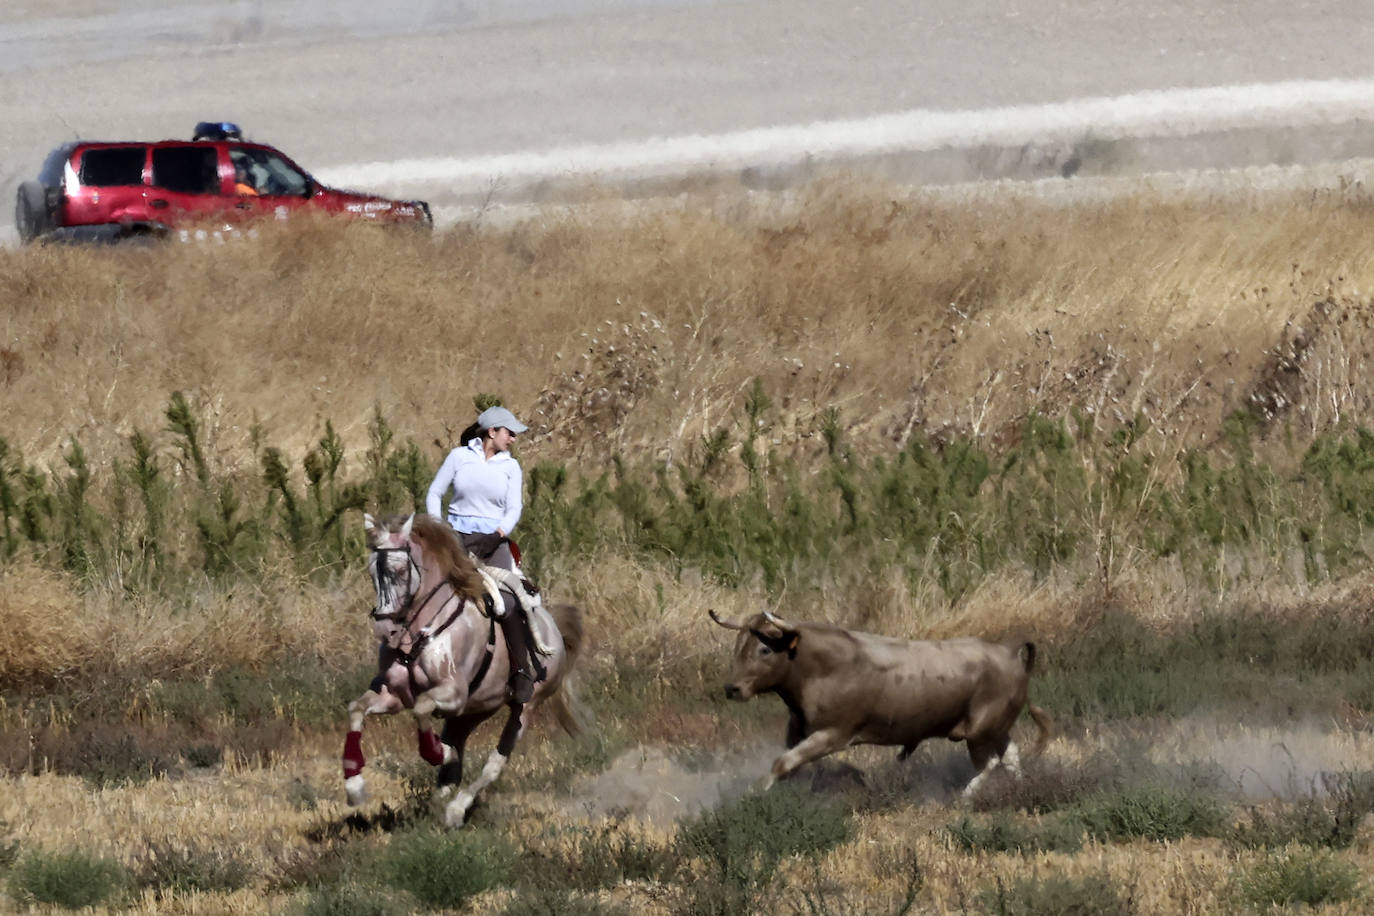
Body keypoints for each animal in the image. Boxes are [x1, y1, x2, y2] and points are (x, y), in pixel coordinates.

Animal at [343, 513, 585, 829]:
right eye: (372, 571)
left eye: (400, 571)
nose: (385, 630)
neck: (420, 630)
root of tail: (552, 627)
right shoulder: (393, 695)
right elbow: (356, 709)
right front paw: (354, 786)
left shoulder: (452, 693)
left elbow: (422, 707)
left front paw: (439, 752)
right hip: (473, 710)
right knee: (456, 756)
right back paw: (436, 803)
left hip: (524, 707)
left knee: (494, 765)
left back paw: (455, 809)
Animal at [708, 609, 1049, 796]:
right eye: (738, 644)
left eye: (765, 649)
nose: (732, 688)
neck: (821, 667)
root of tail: (1008, 652)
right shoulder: (798, 731)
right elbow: (791, 764)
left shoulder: (832, 734)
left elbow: (783, 762)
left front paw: (755, 792)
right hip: (995, 728)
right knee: (1010, 754)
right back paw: (1019, 787)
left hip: (979, 730)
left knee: (991, 762)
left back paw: (967, 794)